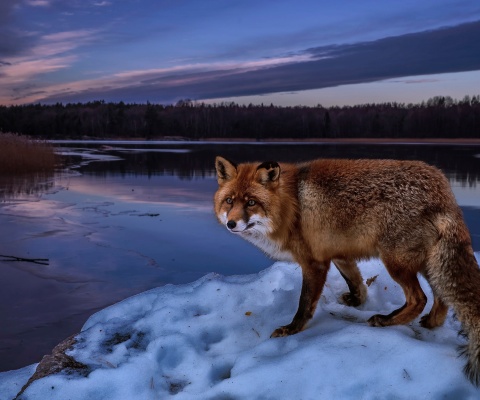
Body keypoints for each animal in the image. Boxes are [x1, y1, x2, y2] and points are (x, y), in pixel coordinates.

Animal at [215, 155, 480, 384]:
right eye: (229, 201)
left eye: (251, 202)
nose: (231, 223)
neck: (292, 206)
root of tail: (443, 189)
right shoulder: (339, 254)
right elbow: (356, 282)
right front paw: (356, 301)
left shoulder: (314, 263)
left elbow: (304, 304)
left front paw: (292, 329)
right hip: (428, 263)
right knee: (441, 297)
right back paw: (431, 323)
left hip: (395, 262)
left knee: (419, 298)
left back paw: (386, 321)